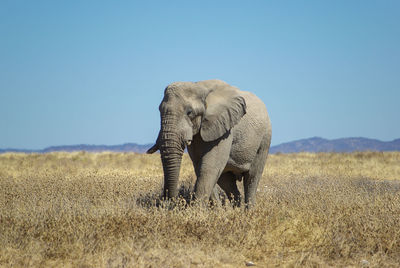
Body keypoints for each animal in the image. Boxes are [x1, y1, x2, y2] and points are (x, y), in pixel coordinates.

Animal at [147, 78, 272, 206]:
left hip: (265, 138)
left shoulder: (224, 127)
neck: (199, 87)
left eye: (189, 112)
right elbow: (200, 167)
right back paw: (236, 208)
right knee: (226, 181)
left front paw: (196, 209)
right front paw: (215, 209)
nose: (170, 201)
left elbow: (209, 167)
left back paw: (248, 208)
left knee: (252, 177)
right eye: (159, 110)